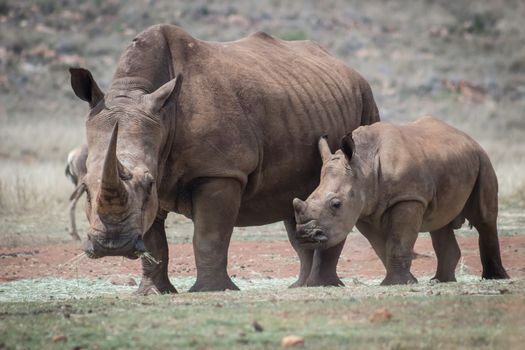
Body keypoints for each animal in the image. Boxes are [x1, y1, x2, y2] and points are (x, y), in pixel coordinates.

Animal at [70, 23, 380, 294]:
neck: (139, 93)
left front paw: (210, 290)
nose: (114, 246)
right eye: (84, 189)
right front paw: (153, 293)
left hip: (366, 100)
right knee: (296, 203)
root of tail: (347, 67)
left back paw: (321, 286)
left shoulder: (220, 170)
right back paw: (300, 287)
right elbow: (154, 240)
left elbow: (209, 235)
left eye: (148, 184)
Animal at [290, 116, 508, 286]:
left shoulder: (407, 199)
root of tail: (468, 138)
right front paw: (405, 280)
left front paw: (398, 283)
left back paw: (496, 278)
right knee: (440, 223)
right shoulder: (364, 209)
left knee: (484, 219)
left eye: (336, 204)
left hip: (482, 160)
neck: (363, 165)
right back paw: (441, 280)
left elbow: (398, 241)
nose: (306, 236)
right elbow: (381, 245)